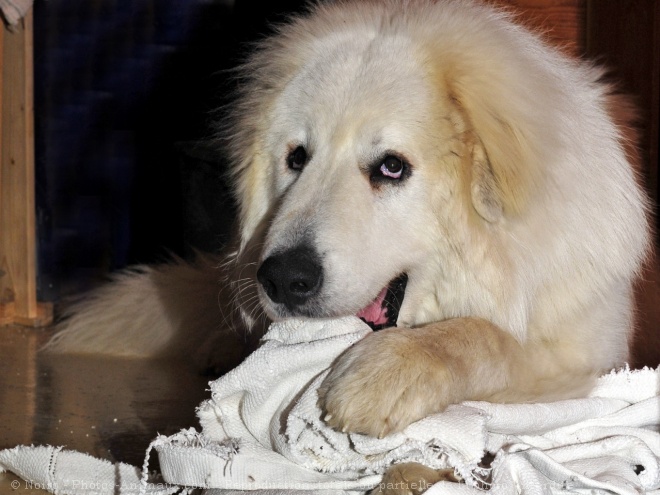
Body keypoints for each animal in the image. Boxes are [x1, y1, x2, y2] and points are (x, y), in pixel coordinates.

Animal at [50, 0, 648, 464]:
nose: (282, 279)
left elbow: (485, 339)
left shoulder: (585, 357)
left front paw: (388, 371)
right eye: (297, 158)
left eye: (391, 167)